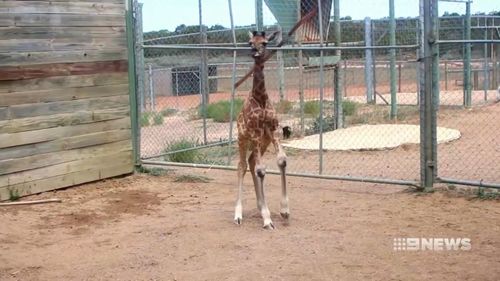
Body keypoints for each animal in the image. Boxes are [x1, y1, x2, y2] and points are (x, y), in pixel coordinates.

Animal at [232, 29, 288, 229]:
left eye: (264, 42)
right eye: (250, 42)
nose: (254, 52)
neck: (261, 98)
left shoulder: (272, 130)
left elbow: (281, 161)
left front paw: (284, 210)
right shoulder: (255, 133)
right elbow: (261, 170)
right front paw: (267, 218)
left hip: (263, 143)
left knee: (250, 163)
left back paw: (258, 206)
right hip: (242, 139)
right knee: (242, 166)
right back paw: (238, 215)